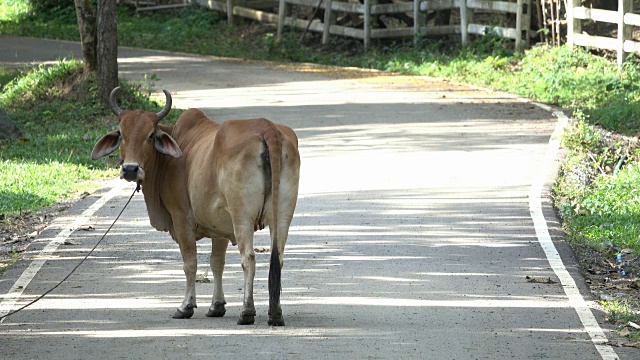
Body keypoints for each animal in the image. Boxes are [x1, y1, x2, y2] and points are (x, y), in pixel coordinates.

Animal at [91, 87, 302, 326]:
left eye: (150, 135)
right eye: (121, 134)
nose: (130, 169)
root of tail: (268, 128)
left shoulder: (181, 218)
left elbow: (190, 263)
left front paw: (186, 306)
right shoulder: (221, 225)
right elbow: (217, 263)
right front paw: (216, 306)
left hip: (242, 215)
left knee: (248, 258)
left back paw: (247, 312)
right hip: (282, 215)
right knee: (279, 258)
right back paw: (275, 313)